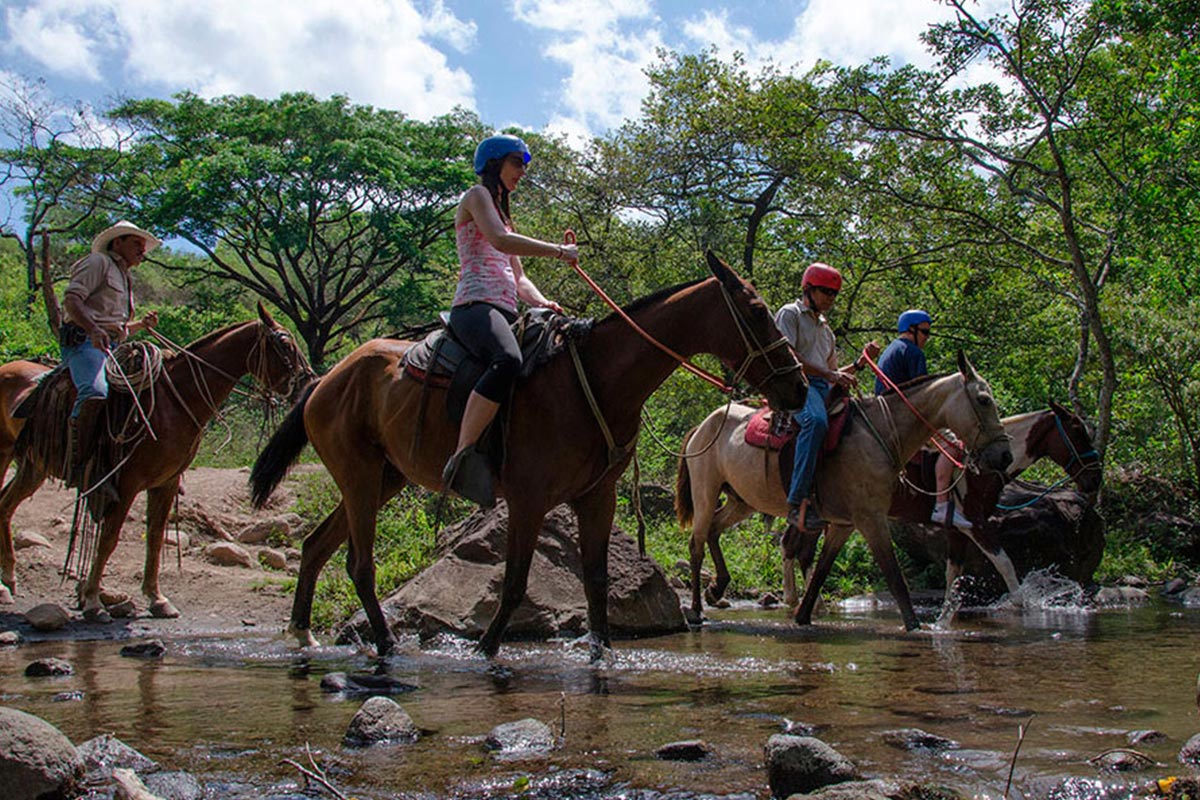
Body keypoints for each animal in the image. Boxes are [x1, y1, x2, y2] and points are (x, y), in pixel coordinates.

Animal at [0, 303, 314, 618]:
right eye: (285, 343)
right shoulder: (125, 485)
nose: (307, 379)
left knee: (5, 506)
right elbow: (109, 539)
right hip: (5, 455)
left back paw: (8, 581)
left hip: (34, 468)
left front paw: (157, 598)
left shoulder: (166, 482)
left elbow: (154, 536)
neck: (174, 402)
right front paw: (91, 599)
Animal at [246, 253, 806, 662]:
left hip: (383, 478)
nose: (799, 387)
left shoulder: (597, 497)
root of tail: (327, 379)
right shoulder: (528, 500)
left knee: (316, 546)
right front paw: (486, 648)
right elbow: (514, 585)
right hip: (361, 477)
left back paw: (302, 631)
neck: (594, 383)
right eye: (758, 311)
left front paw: (601, 652)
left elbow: (596, 580)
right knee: (359, 563)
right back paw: (384, 644)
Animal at [676, 352, 1012, 633]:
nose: (1004, 455)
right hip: (706, 492)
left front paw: (804, 617)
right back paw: (696, 609)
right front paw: (914, 626)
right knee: (697, 542)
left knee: (714, 530)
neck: (880, 433)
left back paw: (717, 588)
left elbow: (821, 572)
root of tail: (701, 426)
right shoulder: (871, 519)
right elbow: (894, 576)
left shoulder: (843, 525)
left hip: (741, 501)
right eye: (984, 400)